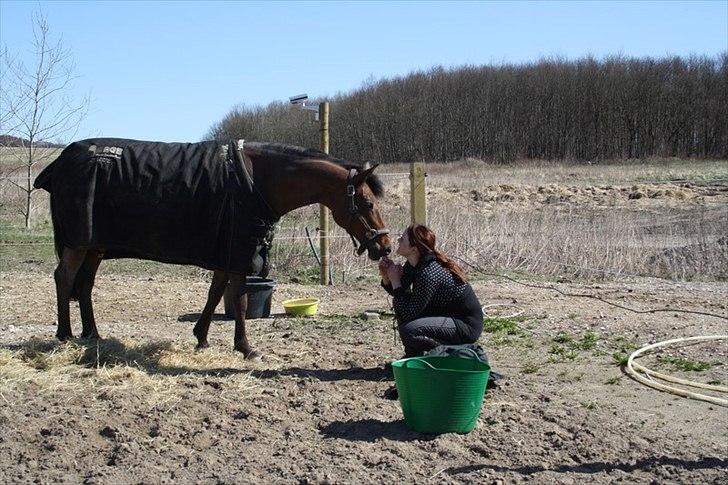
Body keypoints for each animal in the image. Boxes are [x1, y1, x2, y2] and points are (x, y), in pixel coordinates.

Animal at [33, 138, 392, 359]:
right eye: (368, 203)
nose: (385, 246)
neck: (257, 181)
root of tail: (62, 162)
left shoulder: (227, 250)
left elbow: (215, 292)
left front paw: (202, 337)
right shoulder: (239, 251)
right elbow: (240, 300)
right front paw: (246, 347)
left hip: (94, 246)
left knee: (85, 285)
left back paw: (93, 334)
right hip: (78, 243)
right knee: (64, 278)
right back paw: (65, 334)